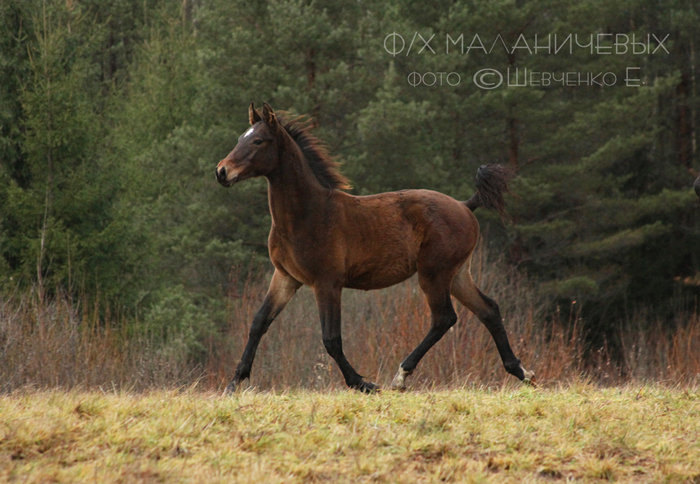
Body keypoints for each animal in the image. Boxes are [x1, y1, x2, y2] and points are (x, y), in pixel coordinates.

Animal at [216, 103, 532, 394]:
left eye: (258, 141)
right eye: (241, 138)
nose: (221, 171)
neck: (308, 215)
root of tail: (465, 205)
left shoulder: (327, 283)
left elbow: (331, 339)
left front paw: (363, 383)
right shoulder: (285, 278)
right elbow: (259, 323)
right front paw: (234, 383)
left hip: (434, 273)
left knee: (444, 318)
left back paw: (400, 377)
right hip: (457, 274)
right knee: (488, 309)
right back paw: (521, 372)